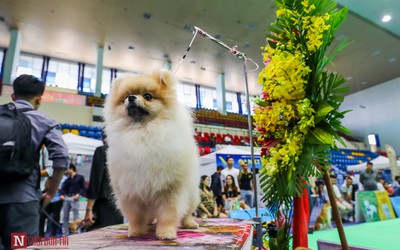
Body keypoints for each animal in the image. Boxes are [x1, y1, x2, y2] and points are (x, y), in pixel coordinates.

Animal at [103, 69, 200, 239]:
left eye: (148, 96)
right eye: (126, 96)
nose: (131, 98)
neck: (142, 131)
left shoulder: (171, 188)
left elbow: (169, 214)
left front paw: (166, 233)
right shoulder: (131, 190)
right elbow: (135, 216)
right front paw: (136, 231)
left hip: (192, 193)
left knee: (187, 211)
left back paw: (189, 223)